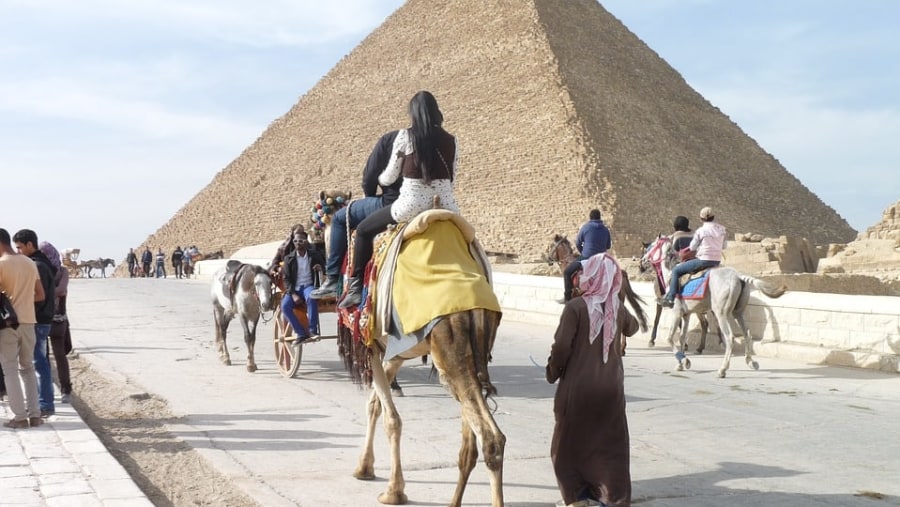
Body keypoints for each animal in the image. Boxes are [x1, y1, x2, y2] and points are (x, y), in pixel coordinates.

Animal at [644, 237, 784, 378]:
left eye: (650, 247)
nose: (643, 261)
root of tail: (737, 276)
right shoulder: (686, 314)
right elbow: (682, 337)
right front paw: (681, 363)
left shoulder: (677, 312)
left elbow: (670, 338)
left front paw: (683, 360)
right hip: (738, 313)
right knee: (747, 334)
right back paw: (750, 361)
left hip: (721, 313)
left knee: (729, 337)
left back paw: (723, 369)